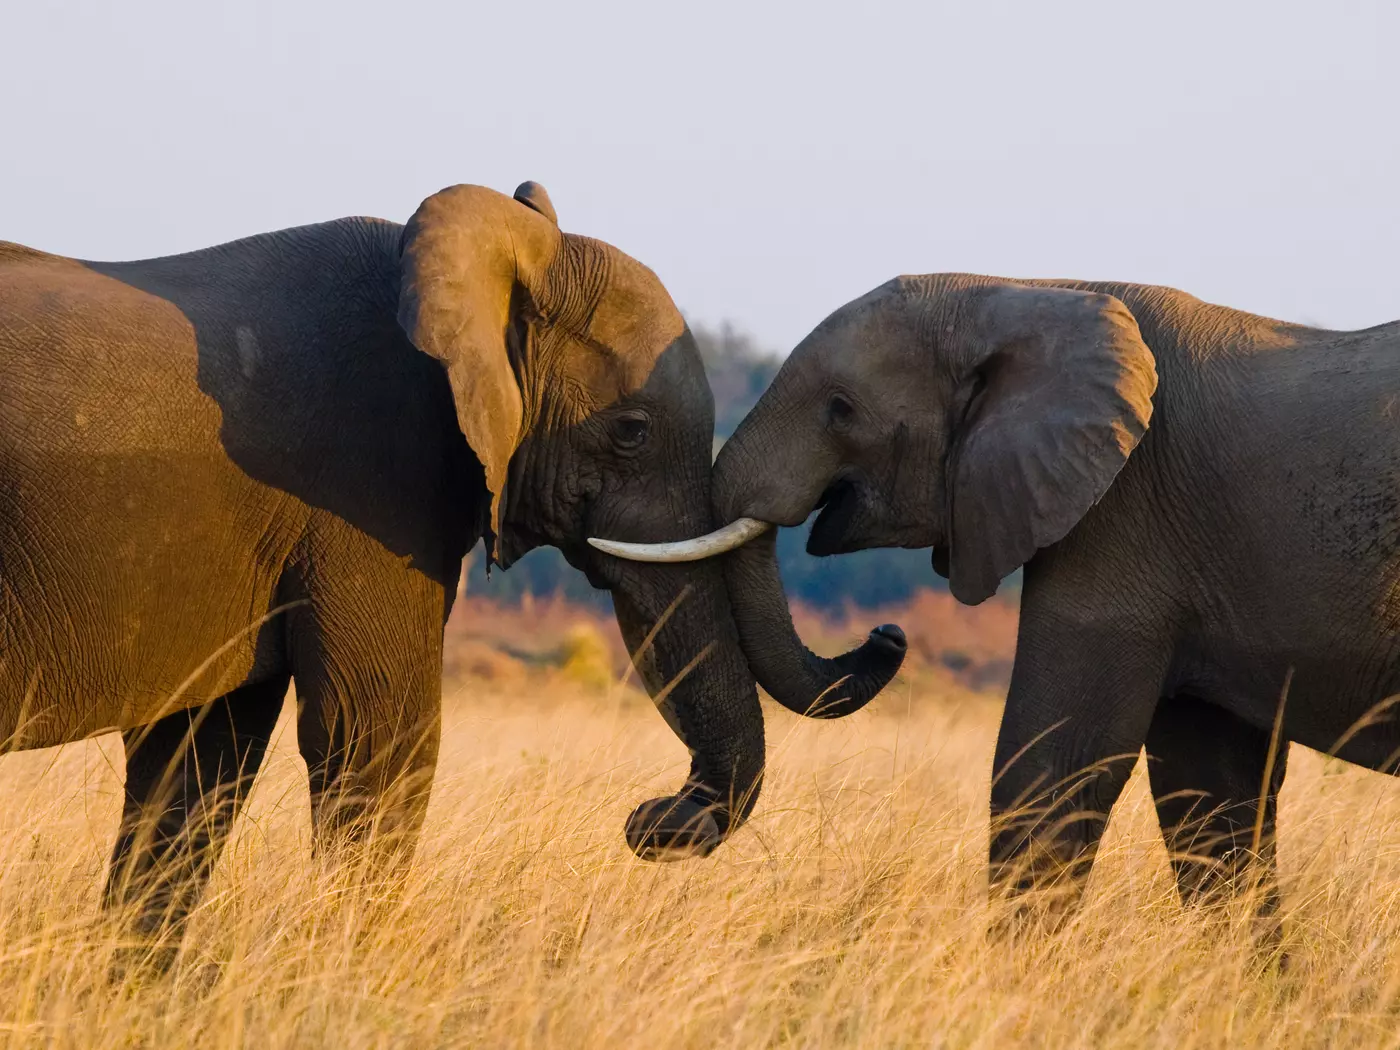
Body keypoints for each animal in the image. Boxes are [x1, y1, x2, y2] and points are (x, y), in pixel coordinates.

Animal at [599, 271, 1400, 931]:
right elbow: (1209, 798)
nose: (646, 818)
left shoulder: (1124, 519)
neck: (1028, 293)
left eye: (841, 409)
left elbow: (1051, 769)